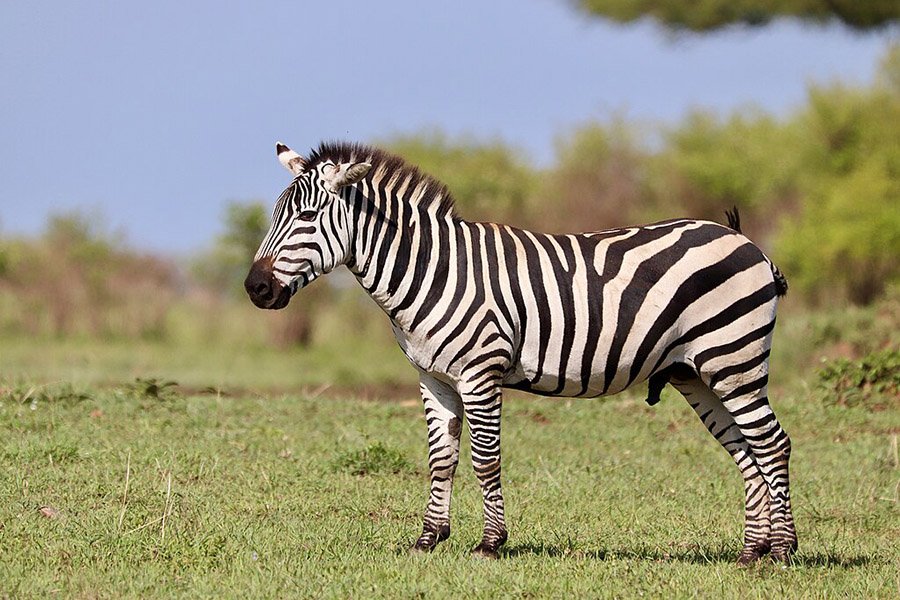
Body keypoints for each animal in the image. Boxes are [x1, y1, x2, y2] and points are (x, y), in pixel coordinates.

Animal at [244, 140, 797, 564]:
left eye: (307, 217)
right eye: (274, 216)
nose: (255, 289)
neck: (430, 272)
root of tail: (745, 240)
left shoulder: (479, 373)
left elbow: (485, 461)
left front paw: (490, 544)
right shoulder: (433, 378)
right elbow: (441, 460)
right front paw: (427, 540)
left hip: (735, 360)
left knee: (772, 445)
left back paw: (783, 552)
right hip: (697, 373)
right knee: (746, 451)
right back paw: (751, 552)